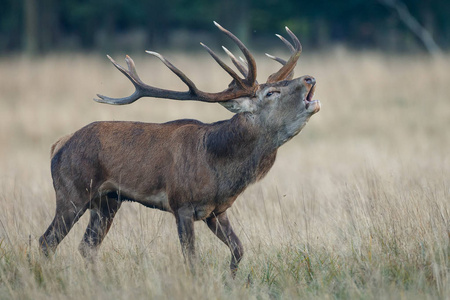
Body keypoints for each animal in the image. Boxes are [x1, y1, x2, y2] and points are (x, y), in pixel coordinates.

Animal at [38, 22, 320, 278]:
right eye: (271, 92)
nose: (309, 78)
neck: (220, 168)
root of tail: (58, 144)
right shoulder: (182, 204)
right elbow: (192, 260)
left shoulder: (217, 210)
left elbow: (238, 250)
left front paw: (230, 280)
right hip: (72, 193)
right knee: (47, 241)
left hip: (107, 201)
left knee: (87, 246)